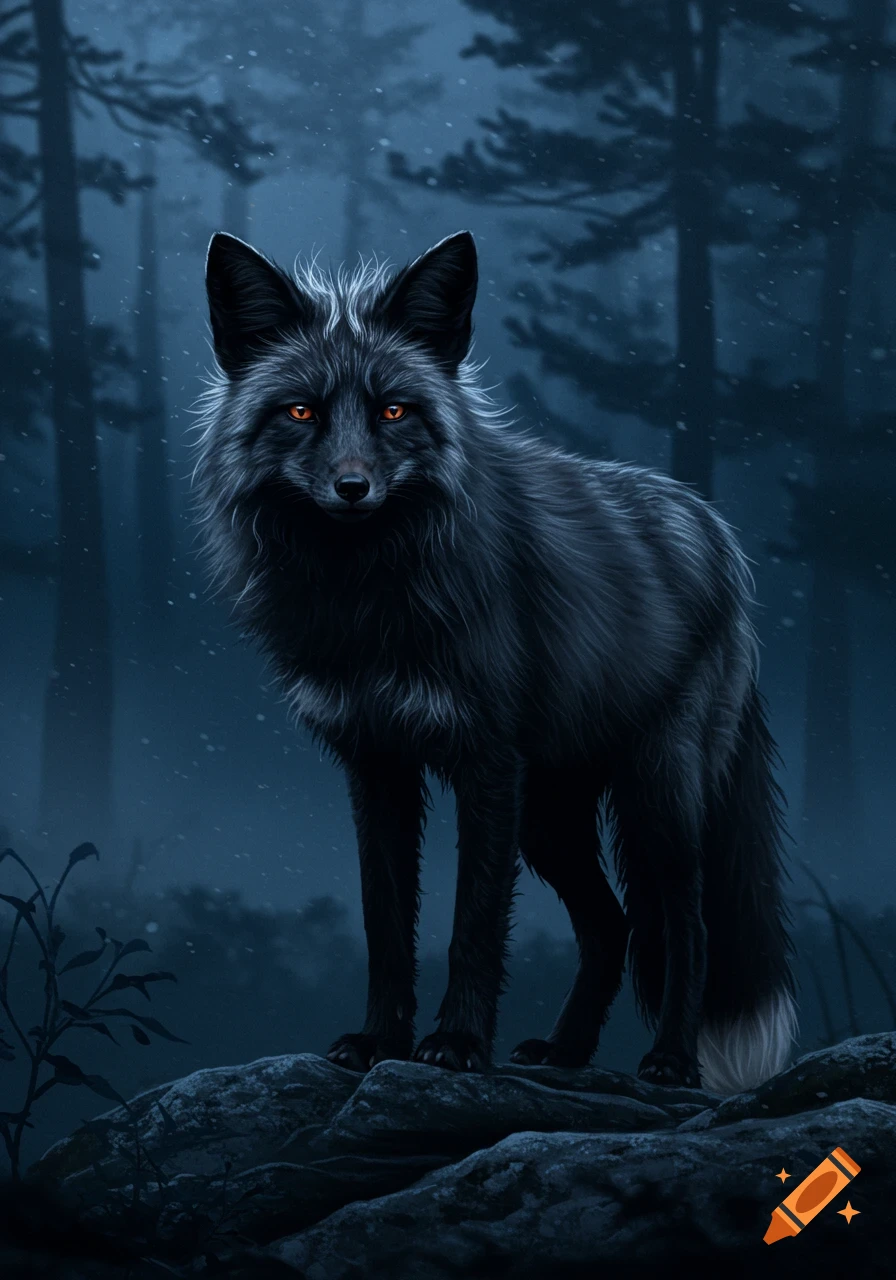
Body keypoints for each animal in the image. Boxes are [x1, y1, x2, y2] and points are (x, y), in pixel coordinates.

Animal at [194, 227, 798, 1094]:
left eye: (394, 410)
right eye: (301, 411)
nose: (352, 487)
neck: (369, 601)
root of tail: (714, 530)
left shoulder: (485, 763)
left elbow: (472, 926)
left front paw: (455, 1045)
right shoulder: (376, 763)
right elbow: (386, 924)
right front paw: (379, 1041)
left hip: (654, 797)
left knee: (686, 921)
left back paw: (671, 1060)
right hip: (549, 817)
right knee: (611, 925)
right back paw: (567, 1053)